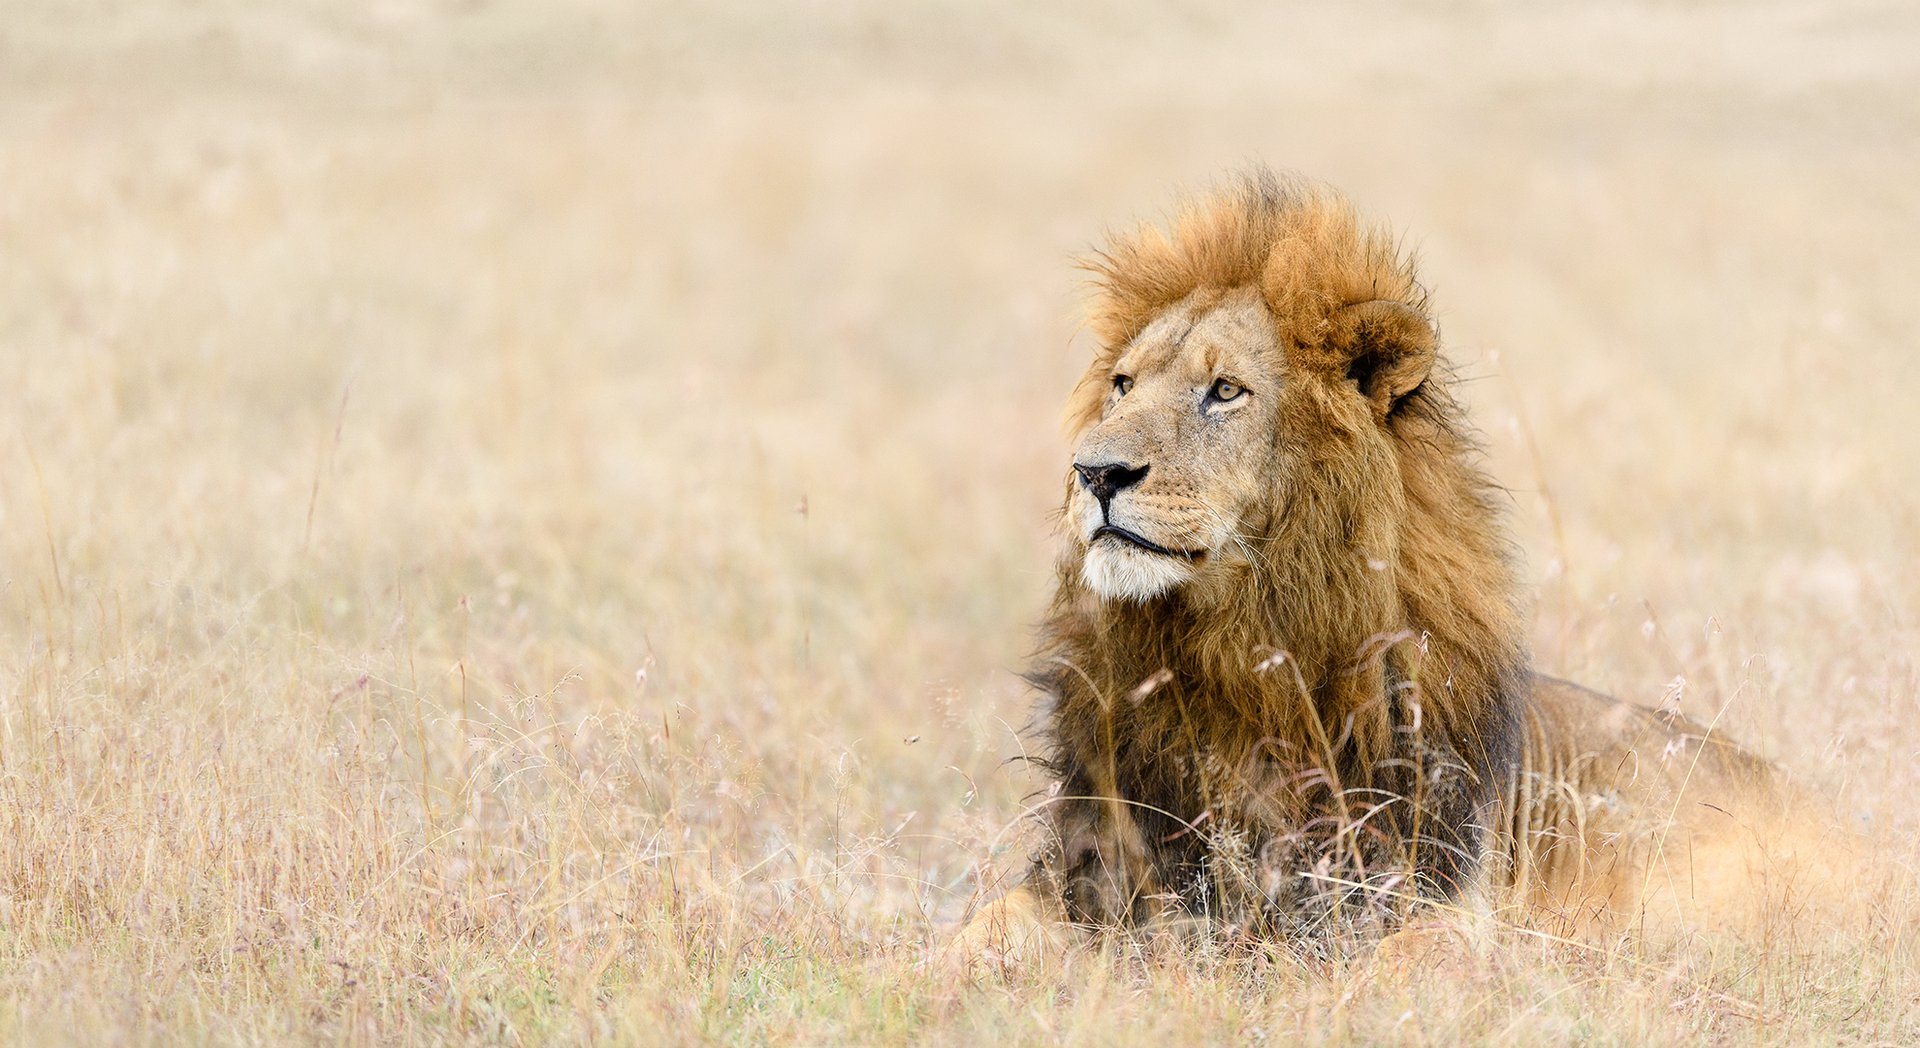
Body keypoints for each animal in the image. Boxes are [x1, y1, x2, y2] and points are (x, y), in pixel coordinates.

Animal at [950, 169, 1851, 969]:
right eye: (1122, 385)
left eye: (1225, 391)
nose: (1094, 472)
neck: (1234, 651)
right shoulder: (1095, 874)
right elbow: (972, 934)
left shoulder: (1434, 896)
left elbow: (1394, 966)